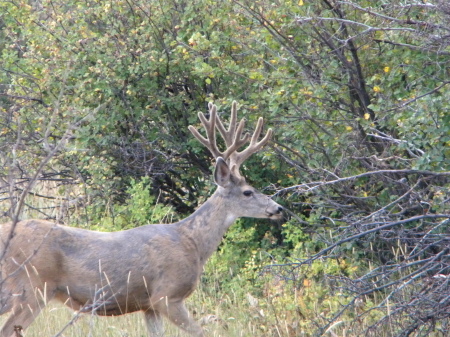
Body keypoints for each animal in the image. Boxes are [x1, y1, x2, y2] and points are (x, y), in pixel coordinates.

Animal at [0, 100, 282, 336]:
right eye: (248, 192)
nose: (278, 208)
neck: (192, 242)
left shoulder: (148, 306)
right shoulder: (167, 295)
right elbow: (202, 332)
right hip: (31, 286)